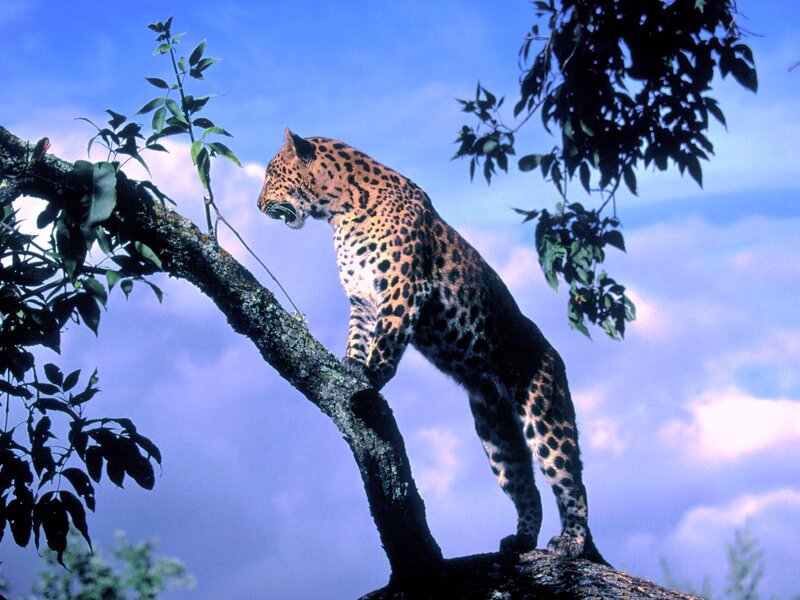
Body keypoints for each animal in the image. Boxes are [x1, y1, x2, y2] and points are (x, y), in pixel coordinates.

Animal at [257, 128, 607, 564]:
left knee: (571, 482)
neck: (339, 210)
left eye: (272, 173)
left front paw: (370, 376)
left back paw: (571, 542)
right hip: (496, 436)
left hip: (546, 415)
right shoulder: (362, 299)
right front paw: (350, 364)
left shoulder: (404, 288)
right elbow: (358, 336)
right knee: (527, 488)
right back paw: (521, 541)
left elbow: (386, 340)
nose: (258, 205)